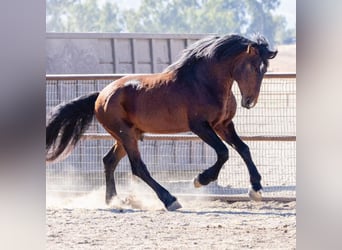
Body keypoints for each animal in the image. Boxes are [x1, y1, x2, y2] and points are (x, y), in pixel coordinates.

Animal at [46, 33, 278, 211]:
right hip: (125, 135)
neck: (204, 83)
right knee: (138, 167)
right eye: (252, 67)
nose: (249, 102)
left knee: (109, 161)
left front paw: (256, 189)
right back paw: (170, 200)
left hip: (127, 135)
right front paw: (200, 179)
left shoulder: (224, 125)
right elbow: (224, 152)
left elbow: (244, 148)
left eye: (264, 69)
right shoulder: (200, 126)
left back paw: (112, 200)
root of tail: (100, 95)